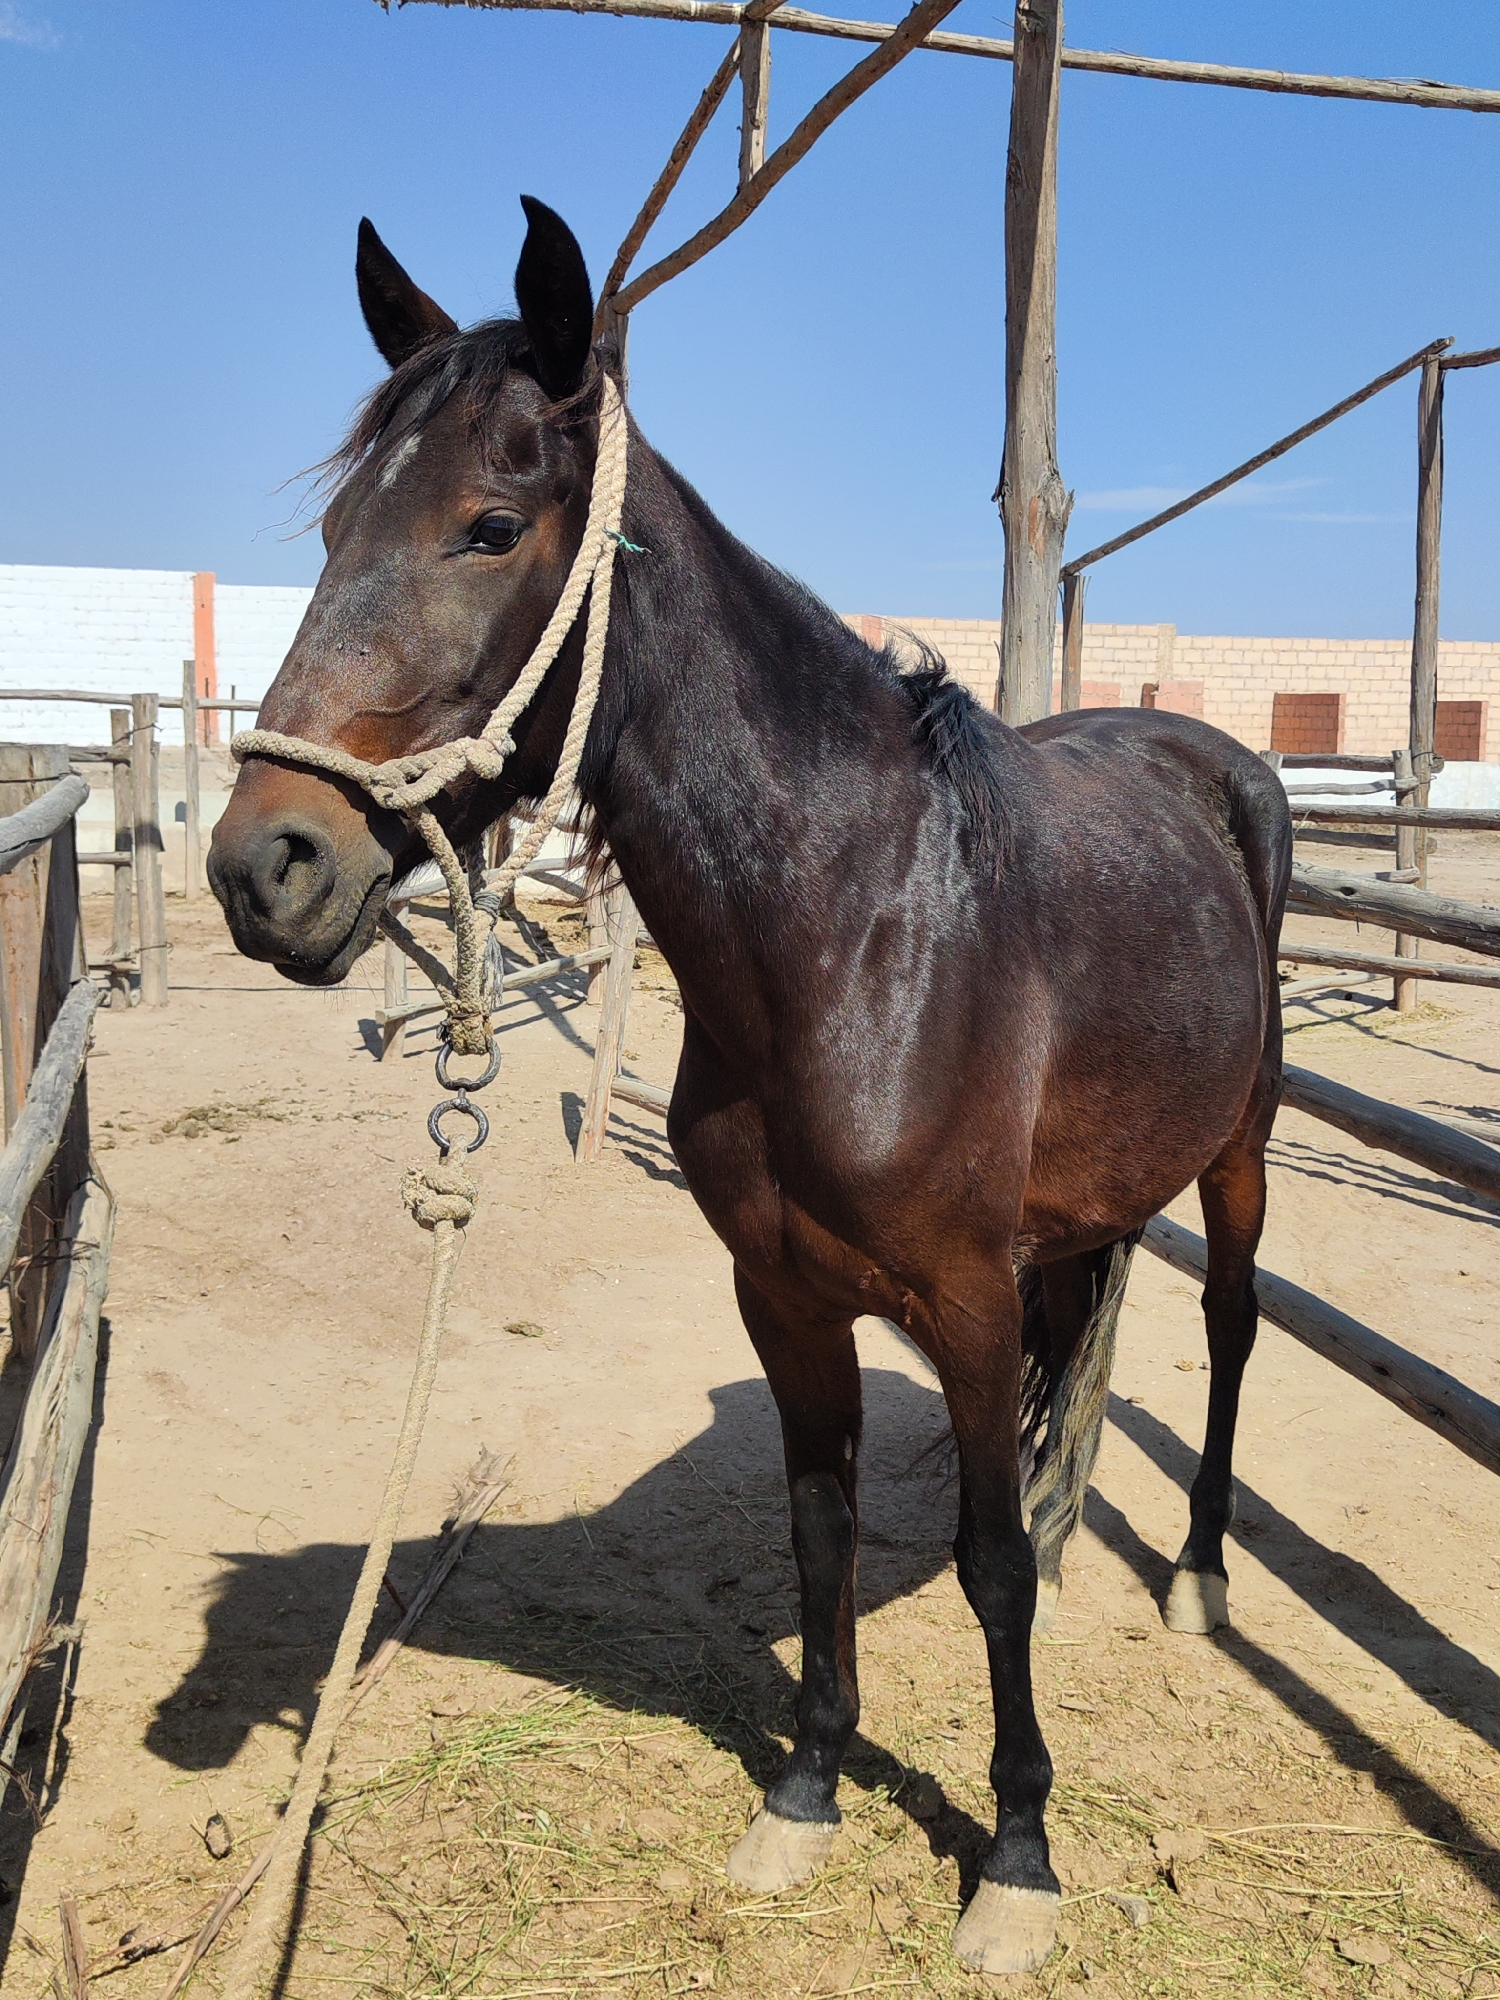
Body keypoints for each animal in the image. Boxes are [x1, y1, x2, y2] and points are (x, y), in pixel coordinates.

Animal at [208, 197, 1291, 1975]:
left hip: (1242, 1154)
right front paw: (804, 1797)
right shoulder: (781, 1296)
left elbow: (984, 1569)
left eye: (489, 527)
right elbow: (819, 1533)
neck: (860, 932)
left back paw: (1194, 1578)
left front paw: (1017, 1859)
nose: (264, 869)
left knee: (1228, 1324)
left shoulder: (962, 1298)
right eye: (329, 535)